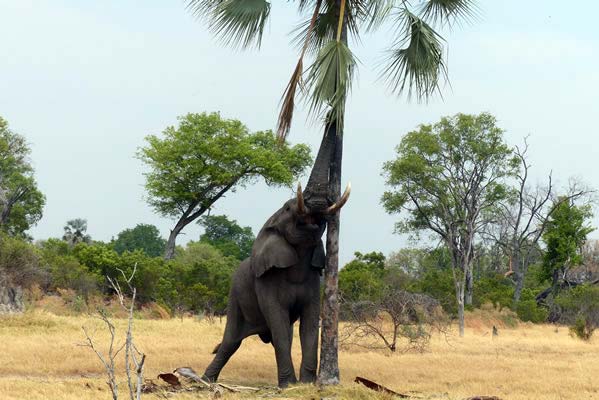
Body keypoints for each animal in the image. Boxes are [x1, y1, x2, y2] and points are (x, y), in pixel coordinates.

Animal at [203, 181, 352, 388]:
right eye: (288, 208)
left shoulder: (315, 279)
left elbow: (309, 322)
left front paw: (304, 384)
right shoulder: (266, 281)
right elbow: (278, 320)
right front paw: (288, 385)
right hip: (235, 295)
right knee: (231, 342)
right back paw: (204, 381)